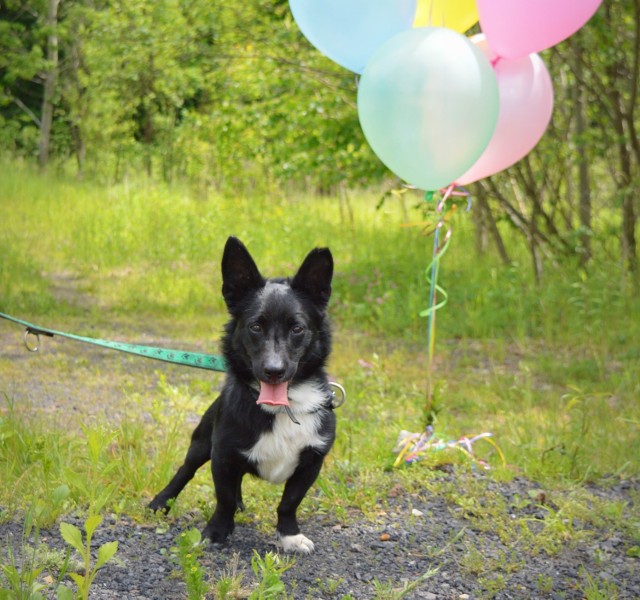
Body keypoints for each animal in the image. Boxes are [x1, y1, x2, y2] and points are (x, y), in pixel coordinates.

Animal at [148, 234, 338, 552]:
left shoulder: (311, 461)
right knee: (185, 471)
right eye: (256, 326)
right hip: (201, 443)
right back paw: (161, 502)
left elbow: (289, 502)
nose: (274, 370)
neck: (282, 407)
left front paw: (289, 535)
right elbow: (222, 498)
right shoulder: (223, 454)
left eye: (297, 328)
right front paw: (216, 532)